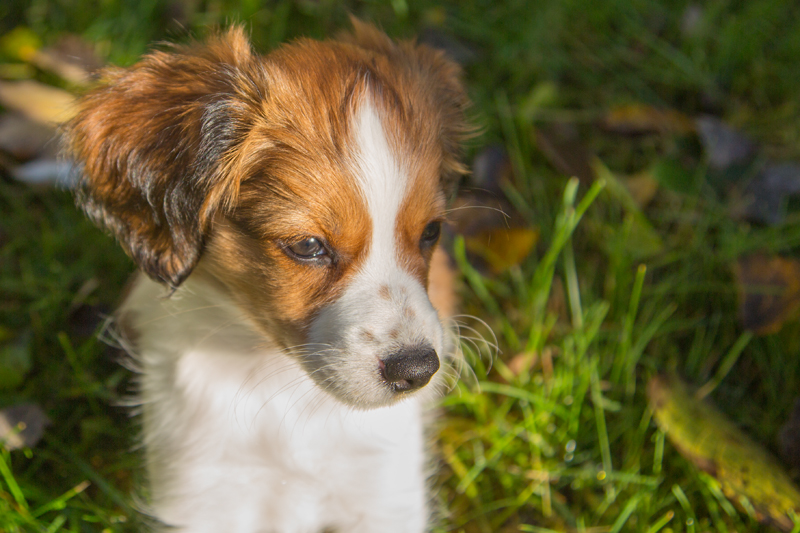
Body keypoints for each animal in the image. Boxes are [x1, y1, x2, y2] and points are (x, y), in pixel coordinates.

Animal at [67, 18, 468, 528]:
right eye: (308, 246)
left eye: (431, 231)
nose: (417, 370)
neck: (279, 382)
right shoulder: (203, 491)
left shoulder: (384, 492)